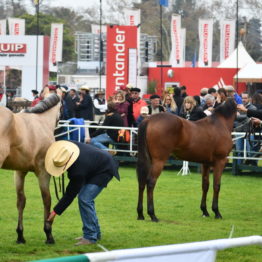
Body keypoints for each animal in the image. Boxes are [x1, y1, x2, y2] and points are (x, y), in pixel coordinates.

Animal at [0, 88, 61, 244]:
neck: (41, 121)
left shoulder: (19, 171)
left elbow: (21, 201)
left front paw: (20, 235)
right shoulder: (43, 172)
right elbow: (47, 199)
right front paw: (48, 233)